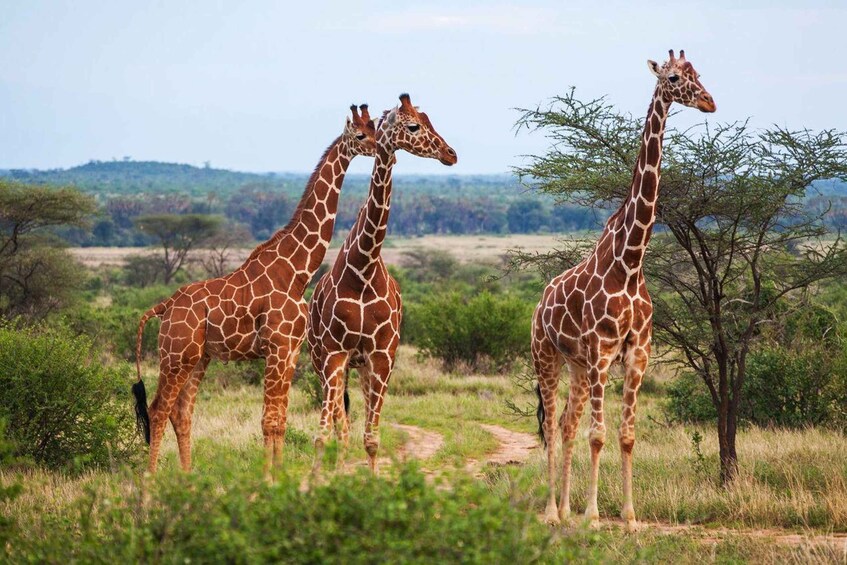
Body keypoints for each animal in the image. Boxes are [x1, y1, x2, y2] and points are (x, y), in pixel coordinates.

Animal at [132, 105, 377, 477]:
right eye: (361, 135)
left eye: (376, 128)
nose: (381, 149)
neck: (297, 272)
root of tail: (164, 306)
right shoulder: (276, 347)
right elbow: (268, 420)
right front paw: (267, 477)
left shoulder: (290, 351)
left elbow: (281, 420)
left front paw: (278, 473)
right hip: (175, 355)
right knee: (159, 408)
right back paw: (152, 478)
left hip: (198, 357)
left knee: (181, 411)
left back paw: (187, 477)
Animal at [307, 93, 457, 473]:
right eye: (414, 125)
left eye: (429, 119)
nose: (450, 153)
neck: (364, 268)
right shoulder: (334, 354)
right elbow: (324, 434)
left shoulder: (382, 355)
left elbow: (372, 438)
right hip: (323, 361)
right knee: (339, 424)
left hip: (364, 366)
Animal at [532, 50, 715, 529]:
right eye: (674, 78)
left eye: (698, 74)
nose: (709, 102)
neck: (630, 262)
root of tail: (539, 302)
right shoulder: (602, 349)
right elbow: (598, 435)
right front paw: (595, 517)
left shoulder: (637, 353)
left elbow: (627, 435)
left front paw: (630, 518)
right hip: (547, 356)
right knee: (552, 425)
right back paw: (551, 512)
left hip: (578, 367)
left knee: (567, 424)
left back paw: (564, 509)